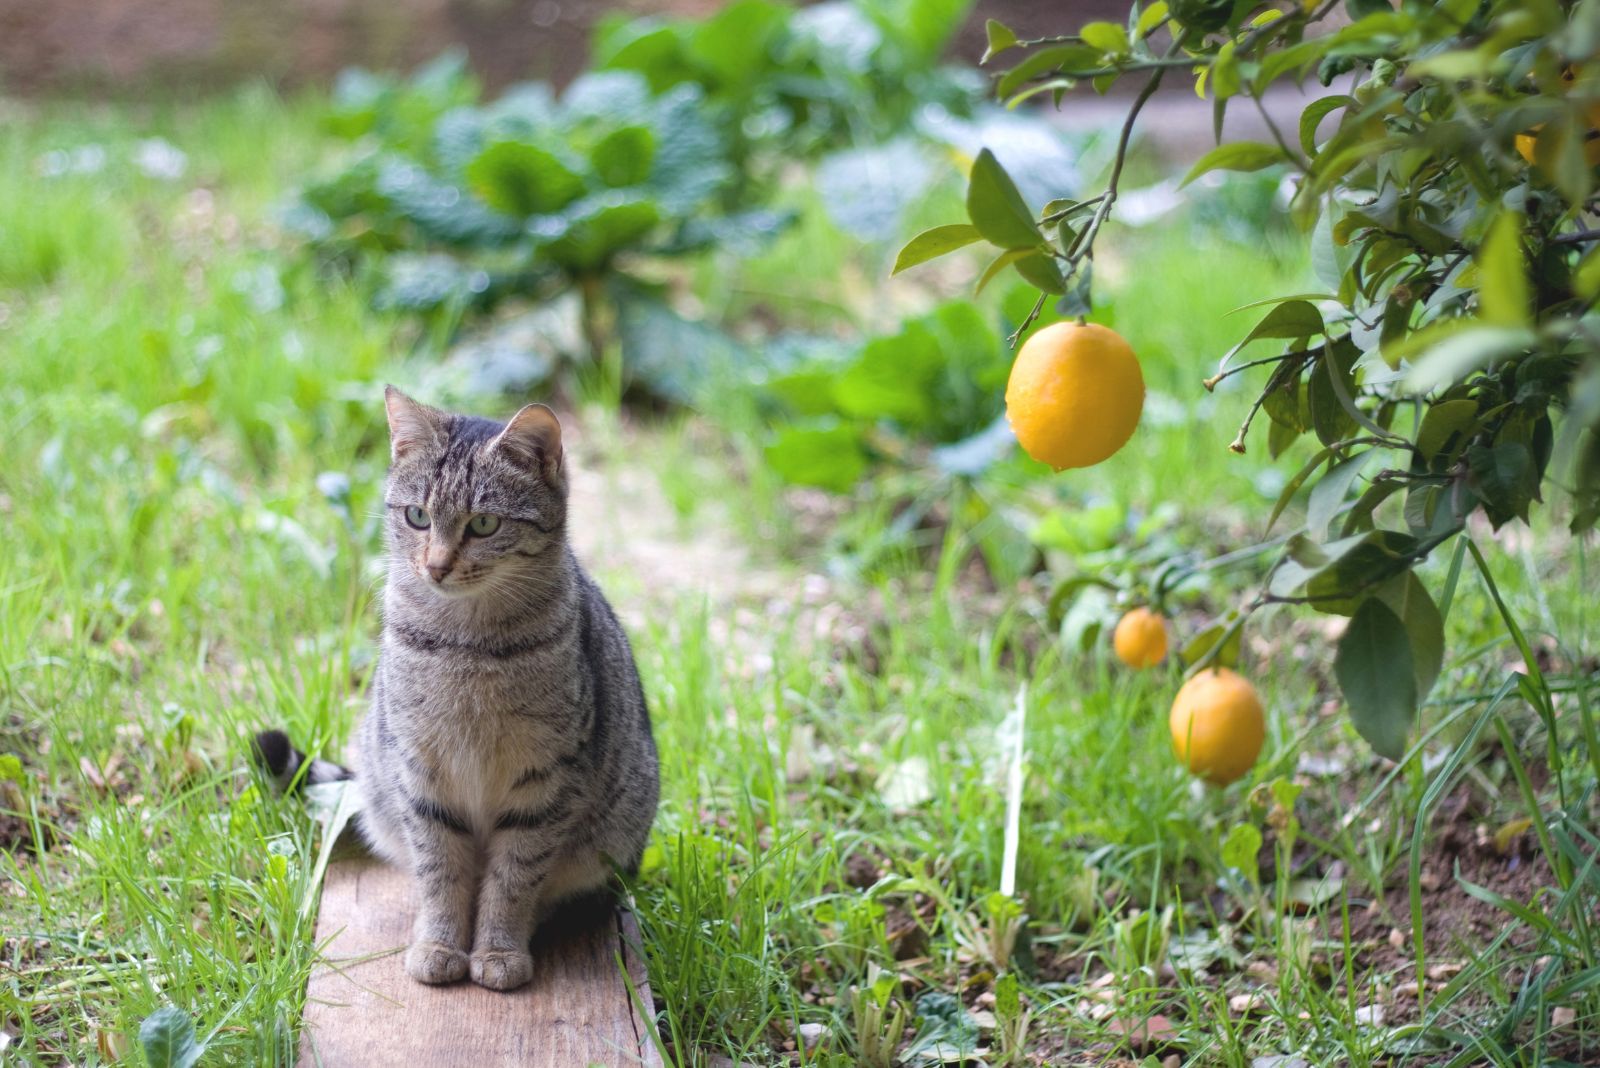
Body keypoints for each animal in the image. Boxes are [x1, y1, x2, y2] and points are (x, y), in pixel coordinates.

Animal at [256, 388, 656, 991]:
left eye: (484, 524)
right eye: (418, 516)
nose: (437, 565)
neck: (466, 647)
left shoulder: (542, 782)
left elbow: (513, 880)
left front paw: (498, 951)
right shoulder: (422, 772)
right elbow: (441, 873)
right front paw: (440, 944)